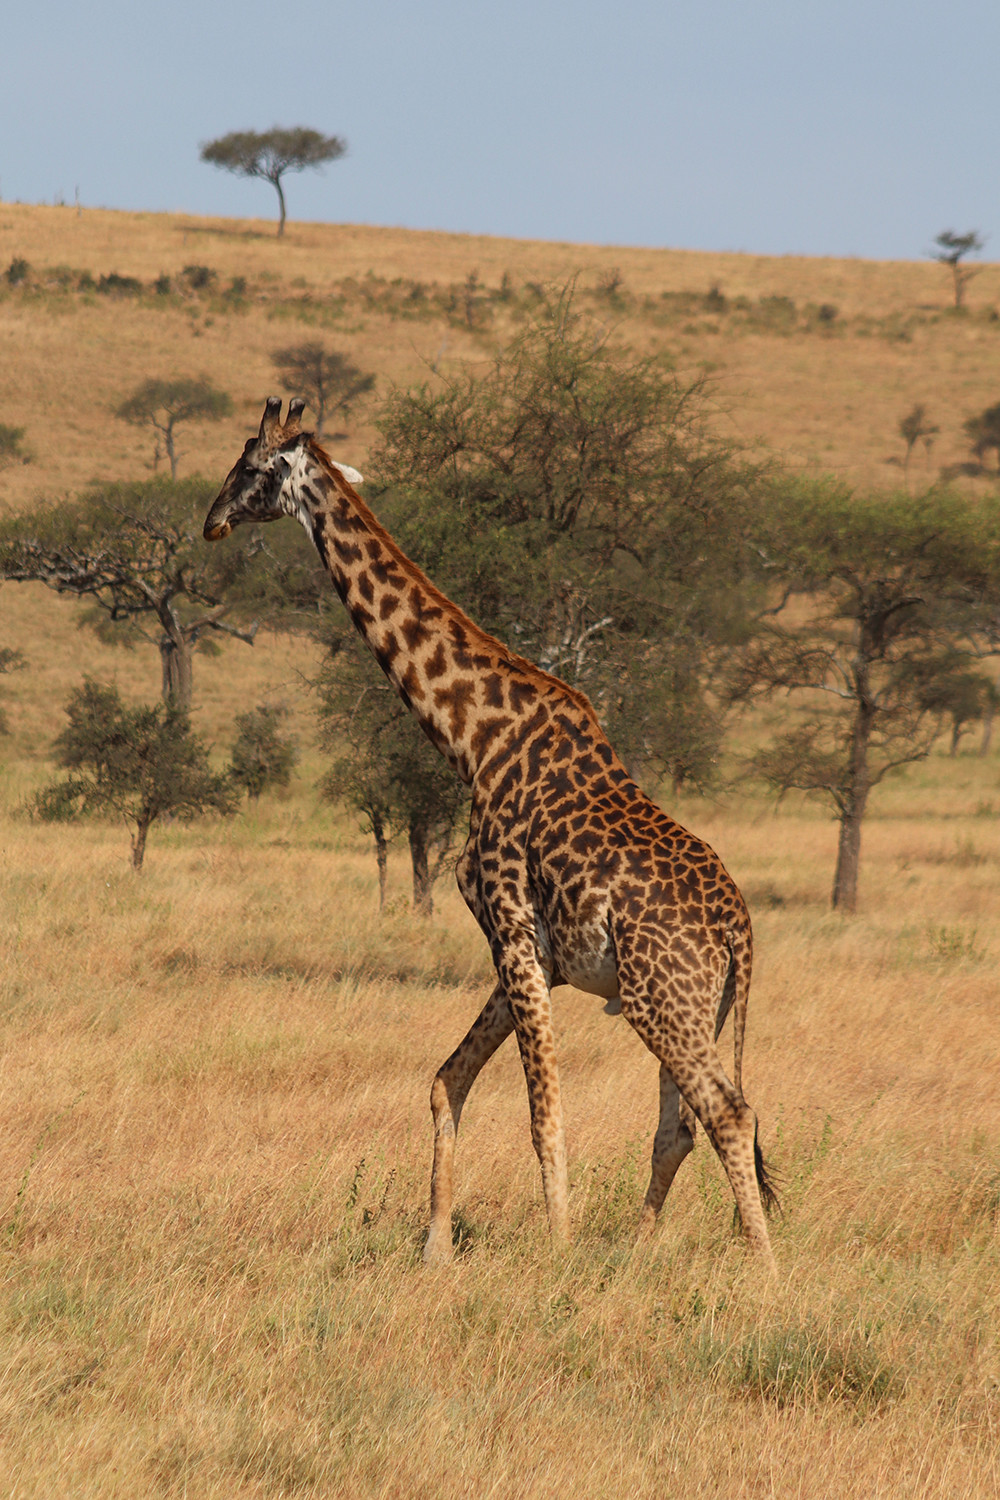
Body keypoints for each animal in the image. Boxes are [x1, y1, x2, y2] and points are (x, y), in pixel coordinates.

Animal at [204, 398, 778, 1273]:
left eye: (248, 467)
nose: (211, 521)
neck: (471, 738)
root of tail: (739, 931)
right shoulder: (534, 953)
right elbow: (447, 1081)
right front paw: (436, 1248)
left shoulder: (510, 930)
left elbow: (545, 1116)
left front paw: (557, 1252)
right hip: (695, 1004)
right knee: (680, 1125)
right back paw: (637, 1254)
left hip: (664, 1000)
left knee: (728, 1114)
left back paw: (764, 1270)